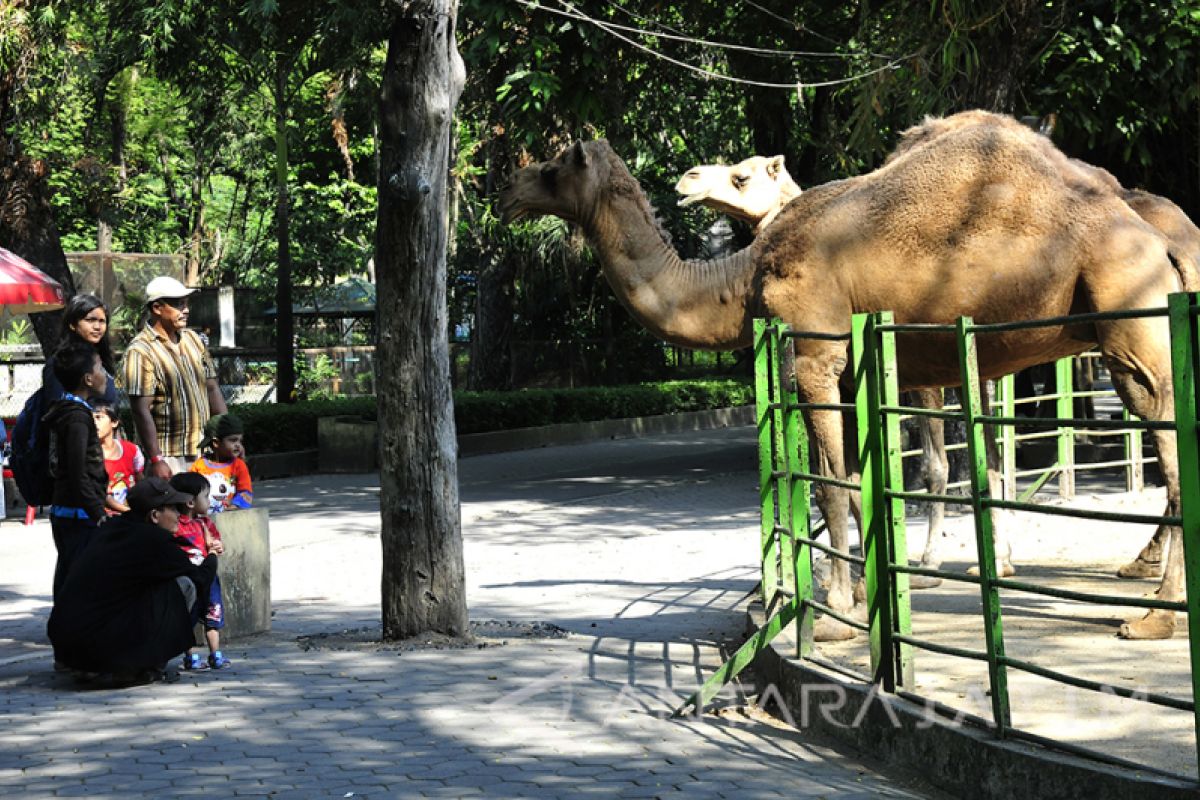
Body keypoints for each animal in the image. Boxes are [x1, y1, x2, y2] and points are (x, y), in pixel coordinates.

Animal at [499, 110, 1190, 642]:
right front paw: (861, 591)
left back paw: (1153, 617)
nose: (506, 187)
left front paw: (833, 613)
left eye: (555, 164)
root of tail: (1160, 238)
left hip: (1130, 316)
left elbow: (830, 486)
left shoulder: (813, 352)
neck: (741, 276)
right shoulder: (854, 371)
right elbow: (856, 483)